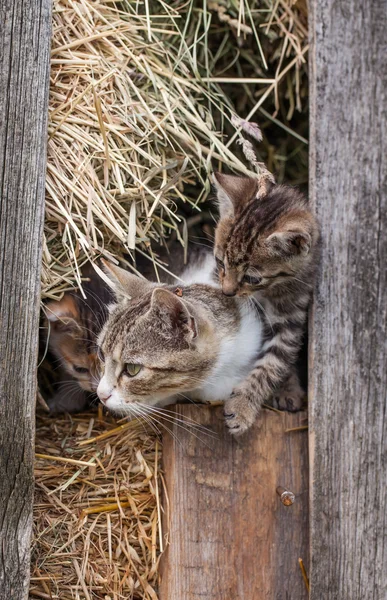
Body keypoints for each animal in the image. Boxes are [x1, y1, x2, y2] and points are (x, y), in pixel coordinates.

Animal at [214, 171, 320, 434]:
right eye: (220, 263)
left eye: (252, 278)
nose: (227, 292)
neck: (268, 292)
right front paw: (287, 388)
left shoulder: (290, 320)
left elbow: (273, 365)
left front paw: (243, 405)